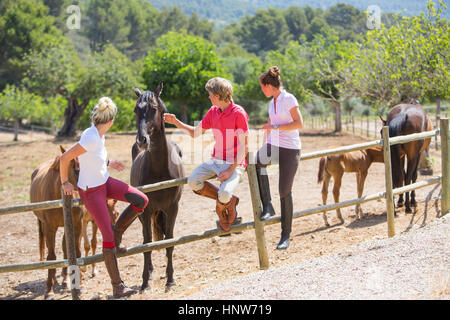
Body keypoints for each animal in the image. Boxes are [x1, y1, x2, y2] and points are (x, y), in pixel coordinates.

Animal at [29, 145, 83, 300]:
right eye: (75, 169)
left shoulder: (77, 224)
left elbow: (76, 252)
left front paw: (79, 282)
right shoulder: (49, 228)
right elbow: (51, 256)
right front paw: (49, 291)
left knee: (66, 249)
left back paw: (65, 280)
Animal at [130, 83, 185, 292]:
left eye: (154, 109)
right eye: (136, 110)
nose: (142, 140)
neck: (160, 168)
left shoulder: (172, 209)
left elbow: (169, 241)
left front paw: (170, 279)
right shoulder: (145, 212)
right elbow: (146, 244)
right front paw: (145, 281)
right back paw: (151, 272)